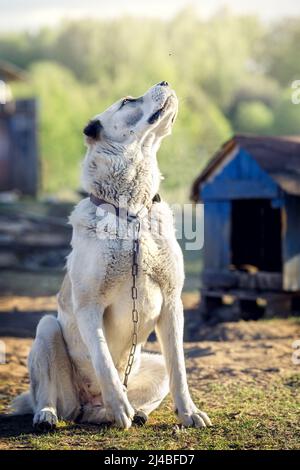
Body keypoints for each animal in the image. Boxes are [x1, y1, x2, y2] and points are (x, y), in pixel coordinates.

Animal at [12, 83, 211, 430]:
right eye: (128, 101)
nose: (165, 83)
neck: (131, 213)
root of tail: (86, 405)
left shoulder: (172, 303)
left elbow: (180, 369)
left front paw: (189, 413)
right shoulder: (88, 305)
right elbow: (103, 360)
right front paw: (119, 406)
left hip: (153, 366)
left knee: (149, 383)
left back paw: (135, 412)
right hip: (48, 330)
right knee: (49, 394)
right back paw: (50, 414)